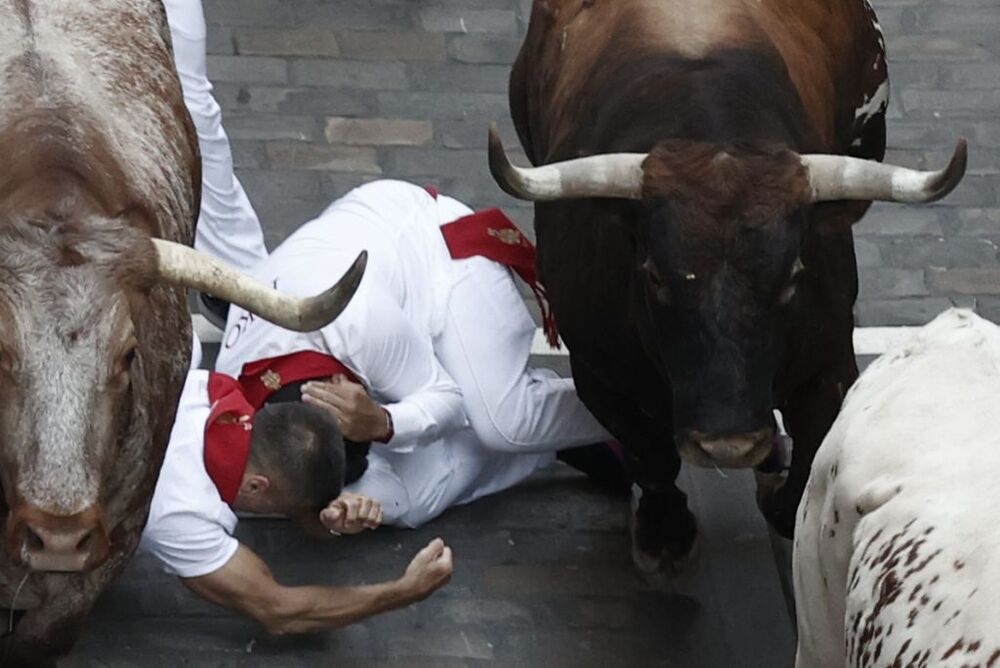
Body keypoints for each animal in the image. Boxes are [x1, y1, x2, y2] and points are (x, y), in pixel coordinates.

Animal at [488, 0, 964, 576]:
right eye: (653, 274)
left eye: (794, 275)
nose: (728, 446)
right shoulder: (598, 373)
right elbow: (650, 454)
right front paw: (664, 532)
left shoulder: (828, 365)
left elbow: (810, 458)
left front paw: (778, 495)